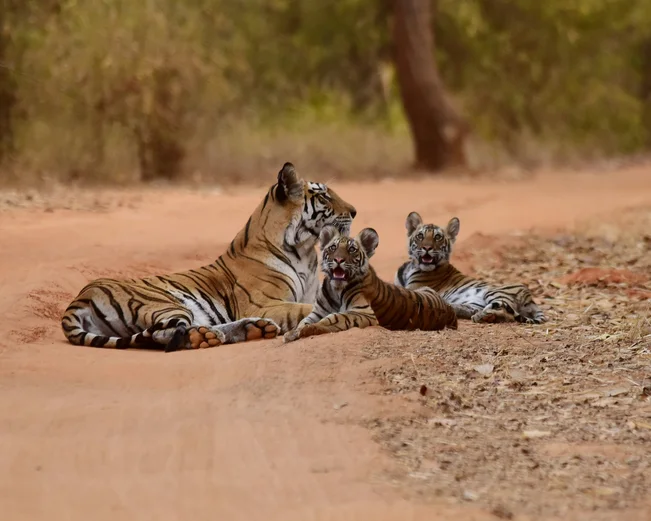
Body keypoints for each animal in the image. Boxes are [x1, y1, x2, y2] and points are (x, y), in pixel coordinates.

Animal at [61, 162, 357, 352]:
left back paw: (254, 329)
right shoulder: (265, 303)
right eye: (324, 196)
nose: (354, 211)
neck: (305, 250)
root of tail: (80, 298)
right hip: (165, 303)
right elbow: (305, 309)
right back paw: (209, 336)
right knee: (164, 334)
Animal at [283, 225, 457, 342]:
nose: (338, 259)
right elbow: (304, 321)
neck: (336, 289)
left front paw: (309, 329)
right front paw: (293, 333)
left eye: (352, 250)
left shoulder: (364, 312)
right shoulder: (318, 311)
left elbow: (334, 317)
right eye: (333, 247)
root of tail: (450, 310)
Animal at [394, 212, 547, 324]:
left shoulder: (414, 288)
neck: (411, 267)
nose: (427, 247)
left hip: (494, 292)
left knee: (503, 310)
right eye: (420, 236)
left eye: (437, 237)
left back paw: (481, 316)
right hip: (474, 303)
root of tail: (530, 298)